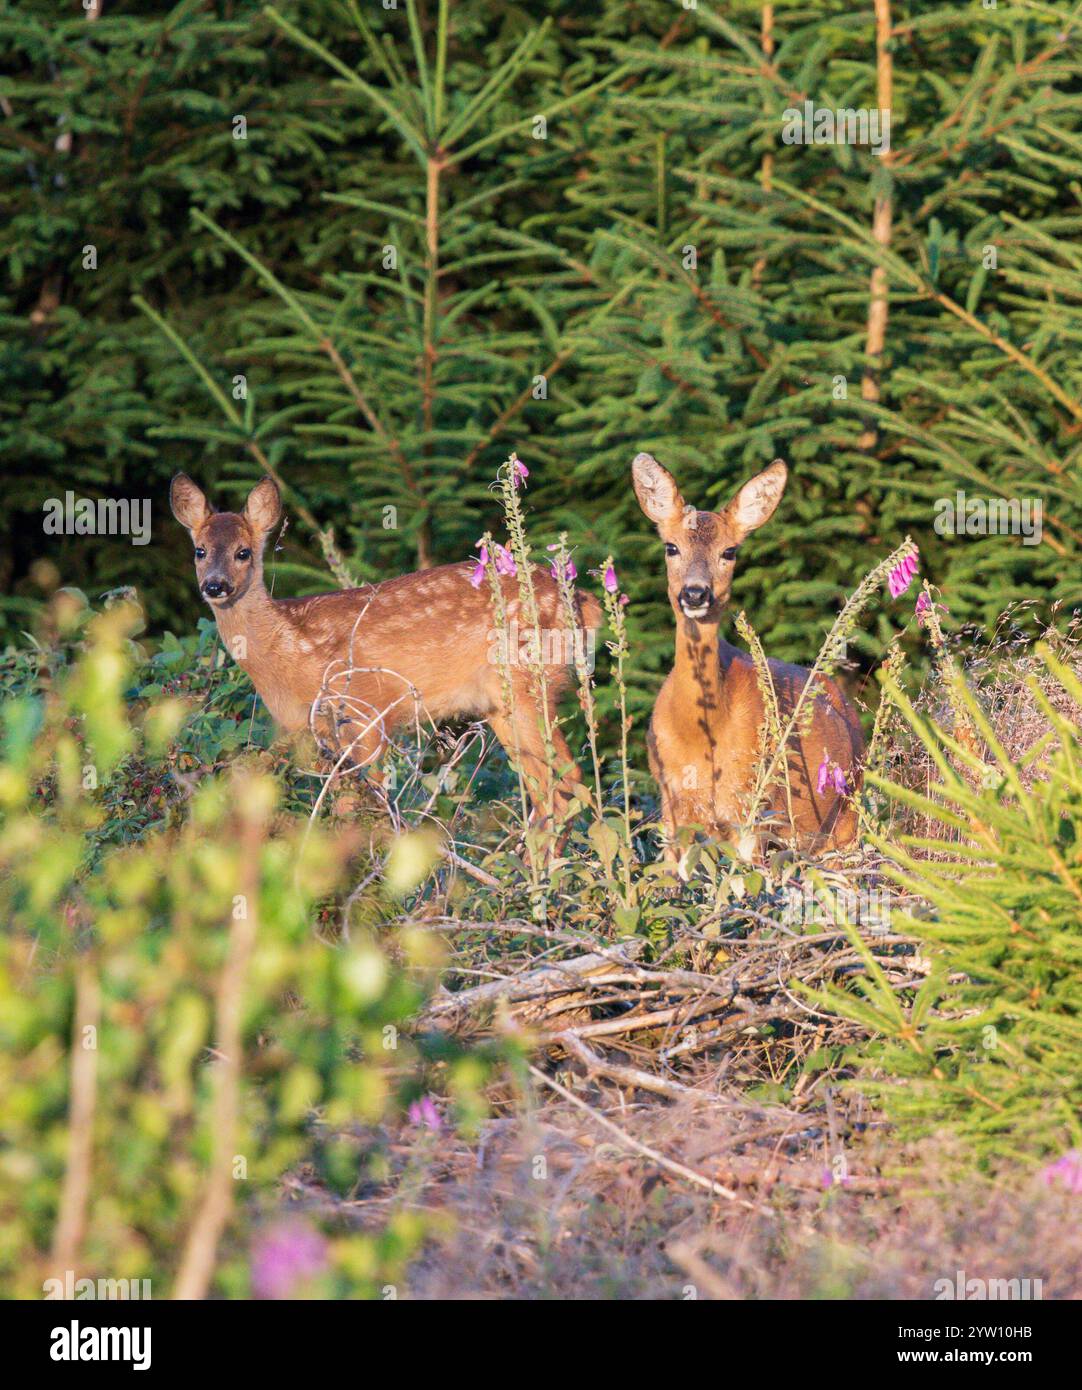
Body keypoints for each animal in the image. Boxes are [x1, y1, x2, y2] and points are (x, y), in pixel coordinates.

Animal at [168, 478, 598, 822]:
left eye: (243, 552)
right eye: (199, 551)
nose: (215, 586)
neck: (290, 646)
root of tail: (579, 601)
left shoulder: (366, 710)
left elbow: (366, 804)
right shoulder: (318, 734)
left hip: (527, 679)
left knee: (568, 782)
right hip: (500, 704)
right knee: (548, 790)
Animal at [631, 453, 862, 856]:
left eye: (729, 551)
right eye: (671, 546)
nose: (695, 593)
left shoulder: (749, 808)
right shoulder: (671, 808)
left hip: (844, 823)